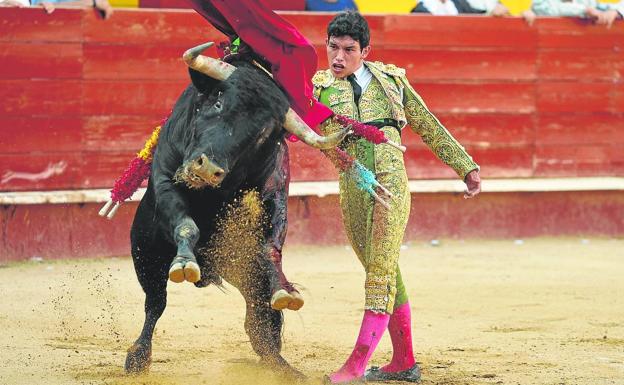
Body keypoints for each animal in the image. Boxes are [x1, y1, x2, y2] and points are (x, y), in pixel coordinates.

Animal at [123, 43, 346, 376]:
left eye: (262, 134)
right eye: (217, 103)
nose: (208, 168)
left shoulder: (274, 193)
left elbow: (270, 248)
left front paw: (285, 290)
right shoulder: (165, 182)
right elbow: (186, 225)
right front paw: (185, 262)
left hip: (246, 274)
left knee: (260, 323)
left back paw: (284, 369)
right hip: (145, 253)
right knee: (155, 304)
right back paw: (138, 357)